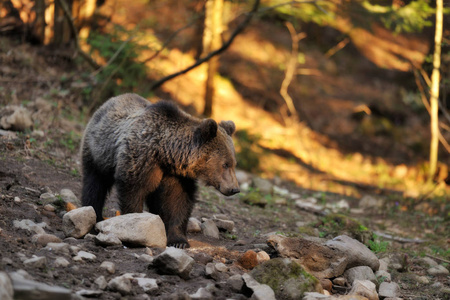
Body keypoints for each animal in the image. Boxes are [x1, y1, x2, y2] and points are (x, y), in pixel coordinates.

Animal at [82, 94, 241, 248]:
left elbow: (177, 202)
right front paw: (135, 228)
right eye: (225, 164)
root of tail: (109, 101)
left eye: (234, 164)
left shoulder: (178, 176)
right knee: (94, 185)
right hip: (98, 152)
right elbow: (132, 191)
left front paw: (178, 241)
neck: (166, 154)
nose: (234, 189)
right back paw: (95, 217)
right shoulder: (141, 159)